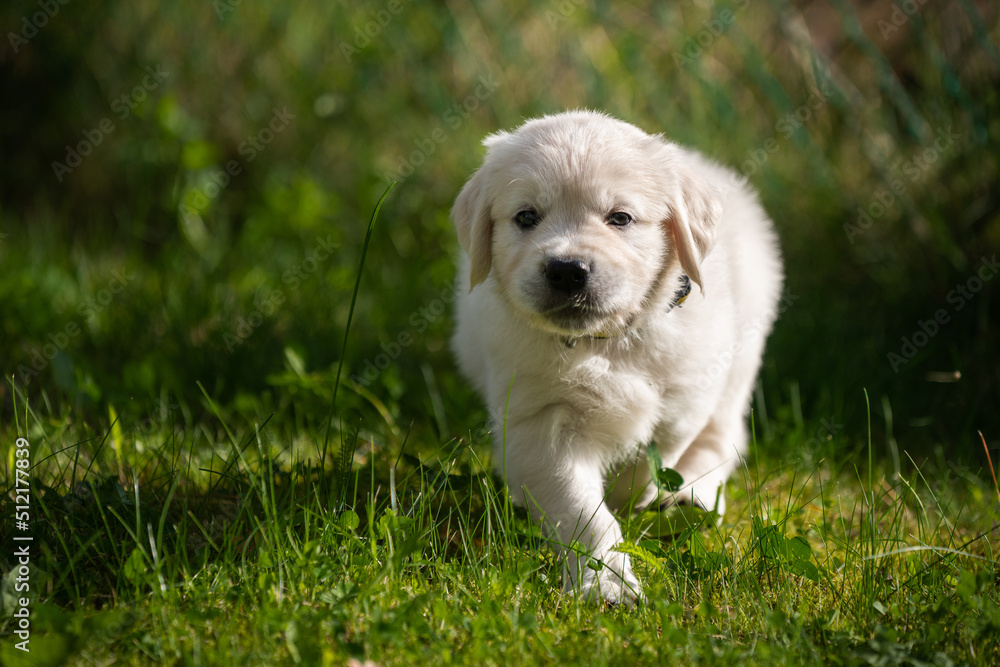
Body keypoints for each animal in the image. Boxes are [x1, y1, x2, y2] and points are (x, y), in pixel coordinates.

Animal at [452, 111, 780, 604]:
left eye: (620, 218)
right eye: (526, 216)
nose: (567, 270)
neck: (603, 343)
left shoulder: (682, 402)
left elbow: (648, 462)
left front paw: (633, 505)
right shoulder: (537, 423)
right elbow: (581, 509)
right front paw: (607, 580)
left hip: (741, 359)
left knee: (722, 439)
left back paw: (692, 498)